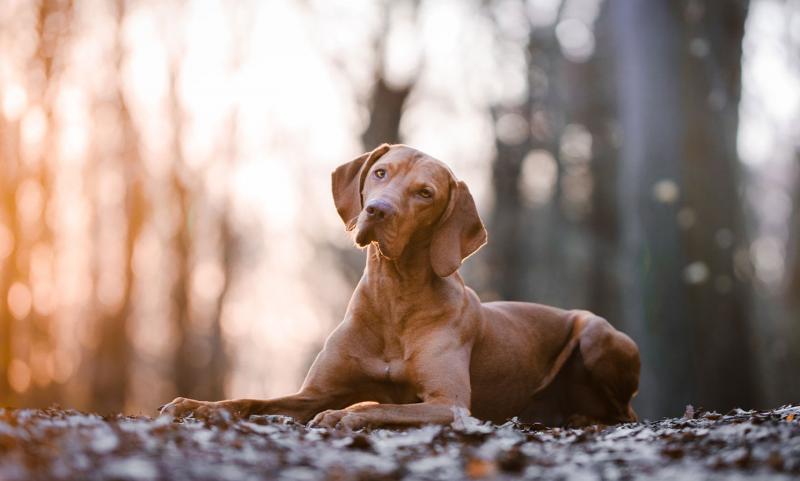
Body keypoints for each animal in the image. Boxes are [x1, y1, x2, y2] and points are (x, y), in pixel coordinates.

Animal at [159, 143, 640, 428]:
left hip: (598, 334)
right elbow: (251, 400)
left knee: (624, 411)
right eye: (380, 173)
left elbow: (379, 405)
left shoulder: (449, 403)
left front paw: (343, 415)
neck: (393, 296)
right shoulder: (311, 393)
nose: (377, 210)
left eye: (425, 193)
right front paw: (194, 406)